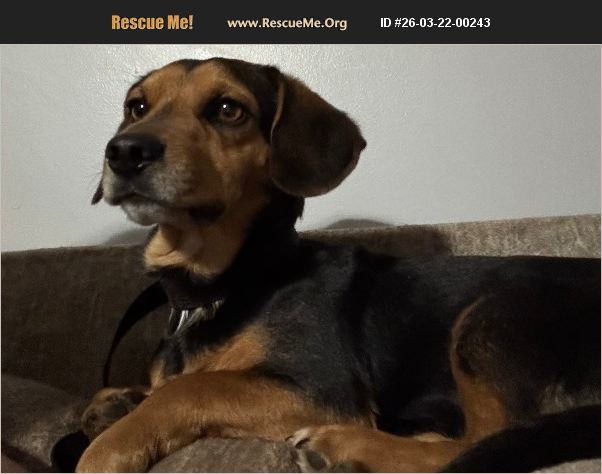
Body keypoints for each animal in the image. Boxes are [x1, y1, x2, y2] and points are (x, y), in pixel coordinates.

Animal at [76, 57, 600, 472]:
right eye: (137, 106)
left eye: (228, 109)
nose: (124, 150)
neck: (234, 278)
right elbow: (150, 390)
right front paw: (117, 402)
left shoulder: (321, 390)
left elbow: (189, 388)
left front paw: (108, 449)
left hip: (491, 316)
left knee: (488, 442)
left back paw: (346, 446)